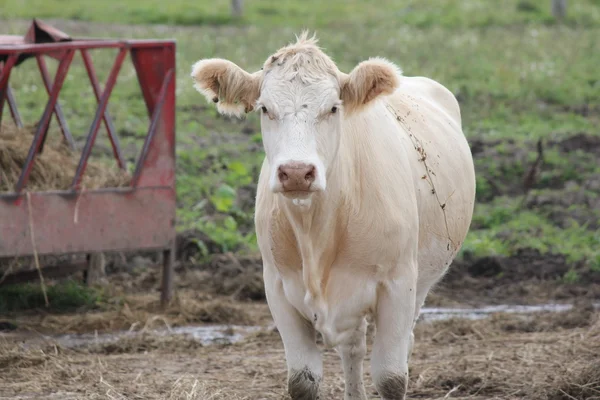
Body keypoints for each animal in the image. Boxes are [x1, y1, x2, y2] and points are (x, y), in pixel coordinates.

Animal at [190, 31, 476, 400]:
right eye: (265, 108)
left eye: (333, 108)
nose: (297, 173)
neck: (318, 231)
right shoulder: (277, 287)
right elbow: (302, 379)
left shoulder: (399, 285)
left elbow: (391, 377)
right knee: (352, 347)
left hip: (421, 282)